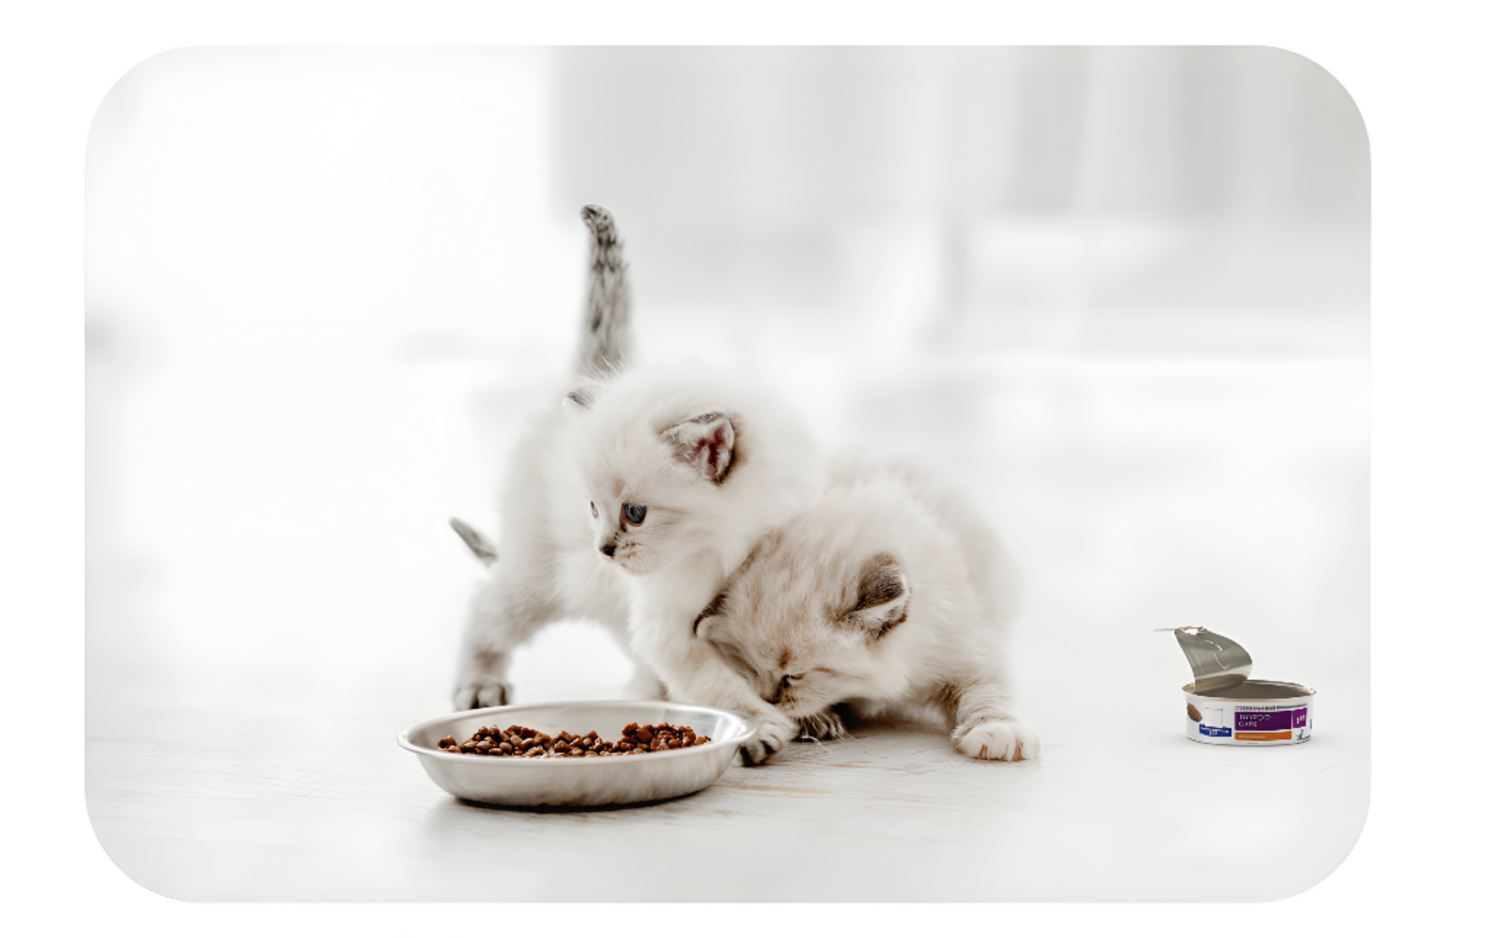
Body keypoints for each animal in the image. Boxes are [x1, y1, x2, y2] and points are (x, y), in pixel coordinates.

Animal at [693, 462, 1038, 762]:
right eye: (748, 667)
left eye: (793, 676)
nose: (768, 700)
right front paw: (811, 720)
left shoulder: (967, 647)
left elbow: (988, 690)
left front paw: (997, 730)